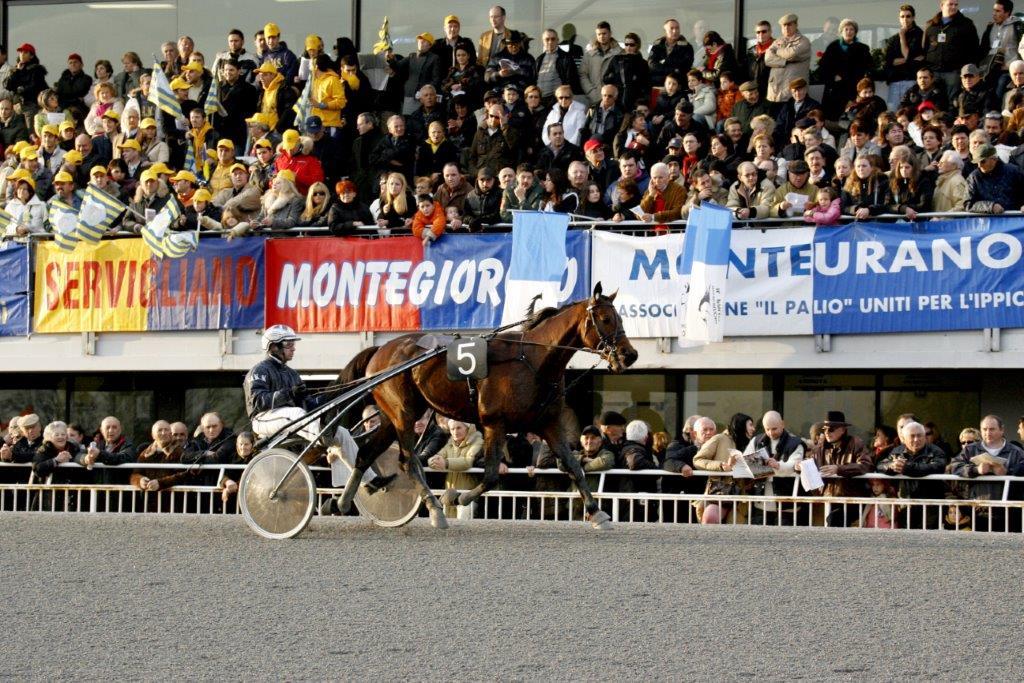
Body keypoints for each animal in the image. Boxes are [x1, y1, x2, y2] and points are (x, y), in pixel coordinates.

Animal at [335, 282, 634, 528]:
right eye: (606, 319)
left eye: (620, 318)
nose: (629, 354)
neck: (532, 359)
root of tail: (380, 349)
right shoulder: (494, 423)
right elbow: (490, 475)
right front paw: (459, 498)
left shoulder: (547, 423)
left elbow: (573, 466)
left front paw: (597, 513)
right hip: (403, 414)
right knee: (408, 460)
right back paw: (434, 509)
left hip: (393, 416)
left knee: (367, 452)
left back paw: (346, 499)